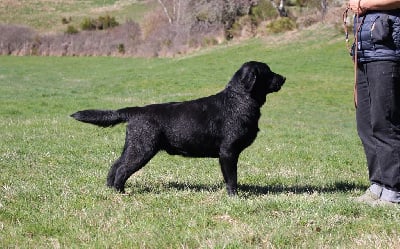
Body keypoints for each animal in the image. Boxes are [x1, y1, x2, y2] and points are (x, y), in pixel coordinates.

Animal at [71, 61, 284, 196]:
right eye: (268, 71)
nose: (284, 78)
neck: (238, 100)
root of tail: (135, 110)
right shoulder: (228, 152)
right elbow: (232, 179)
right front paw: (234, 197)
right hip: (142, 149)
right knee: (122, 169)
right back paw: (120, 192)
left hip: (133, 147)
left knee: (115, 166)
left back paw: (110, 190)